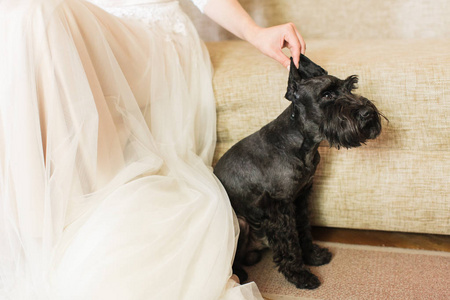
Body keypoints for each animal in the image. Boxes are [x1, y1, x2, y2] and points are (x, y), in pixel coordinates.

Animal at [214, 55, 384, 290]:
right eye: (327, 95)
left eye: (350, 88)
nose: (367, 113)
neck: (300, 143)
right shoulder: (278, 207)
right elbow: (289, 242)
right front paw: (300, 275)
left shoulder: (300, 197)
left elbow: (302, 228)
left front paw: (313, 256)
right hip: (240, 222)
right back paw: (238, 274)